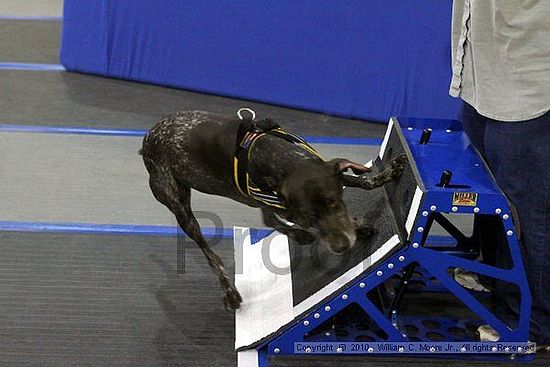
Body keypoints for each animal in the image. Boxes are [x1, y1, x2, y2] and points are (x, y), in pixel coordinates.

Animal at [141, 110, 410, 312]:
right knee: (210, 251)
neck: (280, 159)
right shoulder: (285, 208)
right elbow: (292, 223)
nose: (341, 246)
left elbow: (360, 181)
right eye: (309, 215)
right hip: (180, 206)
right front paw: (352, 226)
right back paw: (231, 290)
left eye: (334, 201)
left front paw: (387, 175)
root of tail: (149, 136)